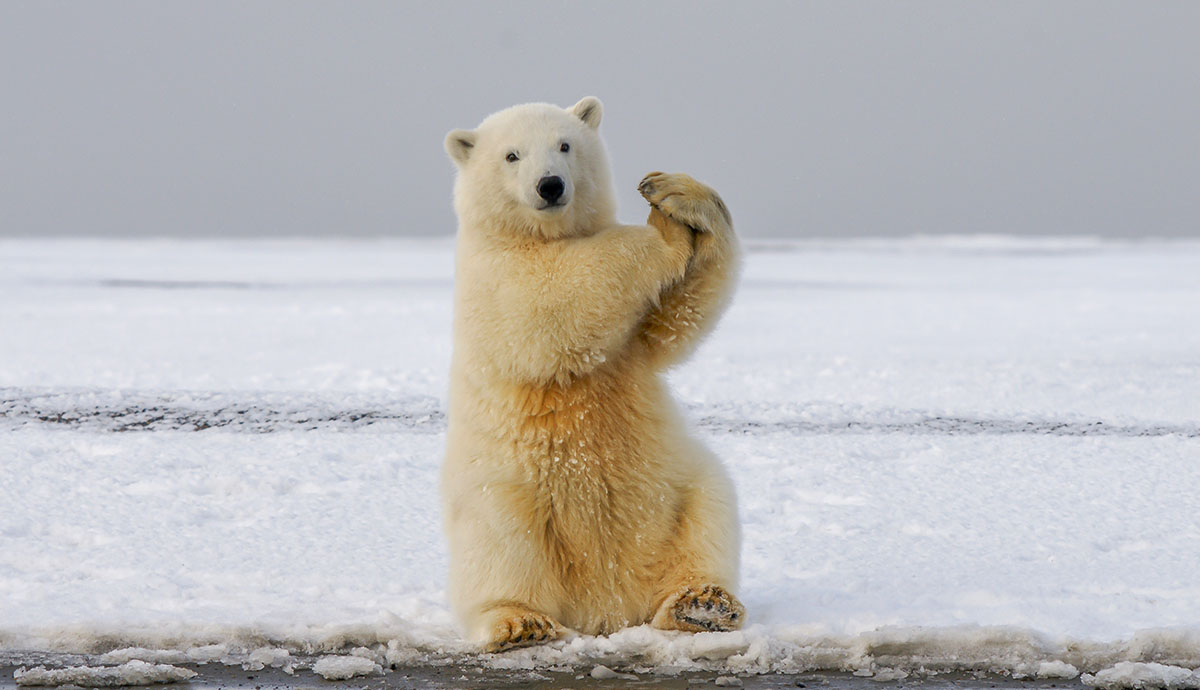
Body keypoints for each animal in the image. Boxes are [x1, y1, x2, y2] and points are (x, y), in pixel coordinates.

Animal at [441, 98, 739, 652]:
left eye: (565, 144)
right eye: (511, 155)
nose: (550, 185)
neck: (538, 235)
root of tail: (606, 606)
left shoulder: (636, 344)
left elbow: (675, 320)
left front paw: (674, 195)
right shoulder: (493, 275)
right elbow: (554, 297)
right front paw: (663, 232)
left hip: (677, 486)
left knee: (708, 512)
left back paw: (702, 604)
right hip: (504, 491)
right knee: (501, 546)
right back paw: (521, 622)